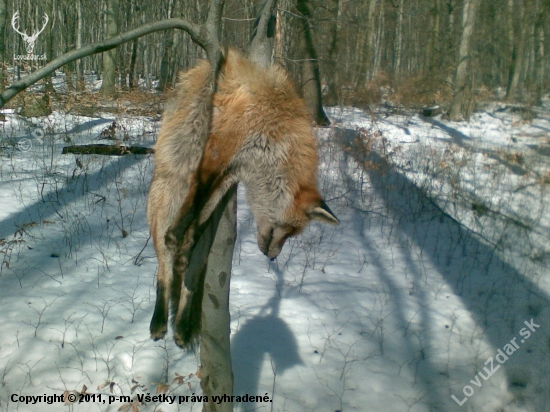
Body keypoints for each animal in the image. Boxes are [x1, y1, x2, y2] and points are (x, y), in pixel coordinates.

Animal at [150, 49, 340, 348]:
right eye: (287, 229)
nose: (273, 258)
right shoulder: (221, 149)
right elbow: (197, 194)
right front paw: (177, 234)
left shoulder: (231, 171)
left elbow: (202, 212)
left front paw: (185, 240)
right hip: (159, 212)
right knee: (163, 273)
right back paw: (158, 321)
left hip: (204, 252)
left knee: (188, 280)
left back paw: (180, 326)